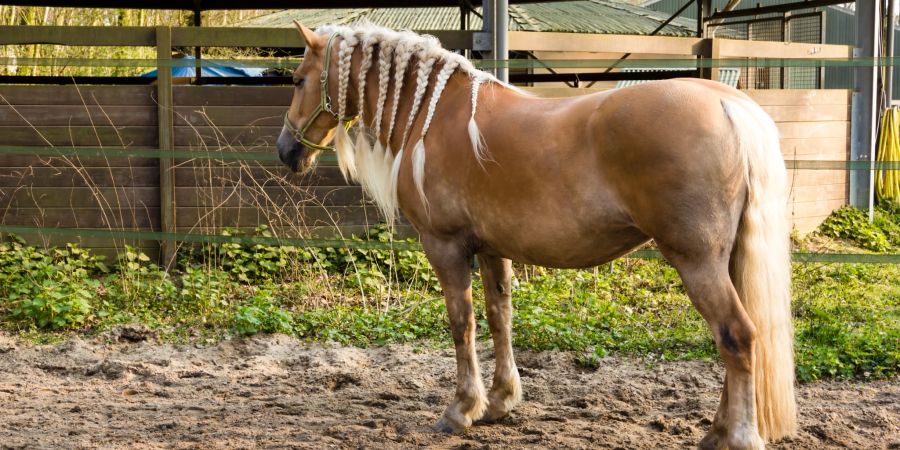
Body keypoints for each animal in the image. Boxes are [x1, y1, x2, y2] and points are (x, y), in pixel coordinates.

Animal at [276, 24, 796, 450]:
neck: (433, 115)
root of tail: (728, 104)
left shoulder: (445, 246)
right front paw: (500, 402)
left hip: (697, 260)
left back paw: (738, 436)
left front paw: (460, 409)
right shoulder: (491, 249)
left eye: (299, 80)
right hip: (725, 261)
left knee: (737, 336)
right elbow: (499, 318)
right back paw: (716, 430)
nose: (286, 151)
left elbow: (462, 324)